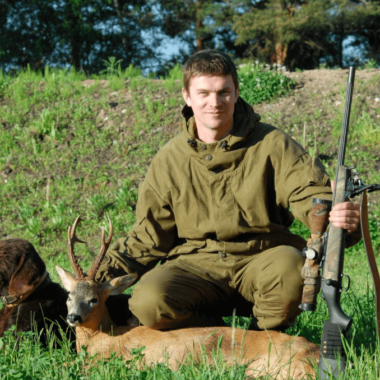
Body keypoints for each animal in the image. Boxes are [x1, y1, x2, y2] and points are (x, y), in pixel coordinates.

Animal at [55, 217, 318, 380]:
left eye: (94, 299)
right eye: (69, 296)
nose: (73, 317)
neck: (105, 336)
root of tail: (315, 356)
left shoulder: (115, 358)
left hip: (264, 369)